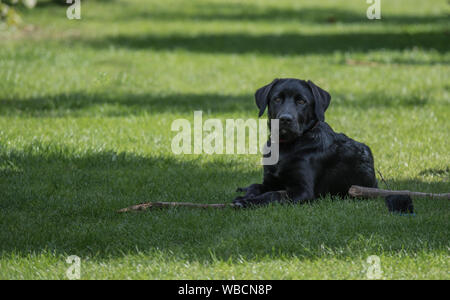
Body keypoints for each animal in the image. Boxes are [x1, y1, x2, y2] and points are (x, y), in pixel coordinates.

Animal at [234, 78, 378, 207]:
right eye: (277, 99)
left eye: (301, 101)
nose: (285, 119)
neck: (286, 147)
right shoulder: (270, 181)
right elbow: (255, 186)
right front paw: (246, 196)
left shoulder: (303, 191)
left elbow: (274, 194)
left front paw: (247, 202)